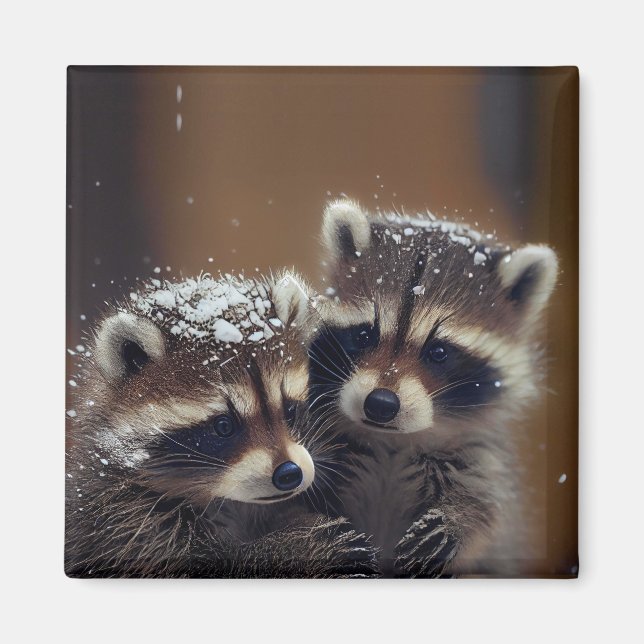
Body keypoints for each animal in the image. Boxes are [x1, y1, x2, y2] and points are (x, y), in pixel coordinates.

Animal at [66, 270, 377, 578]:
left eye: (289, 410)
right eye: (224, 426)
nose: (289, 474)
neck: (227, 502)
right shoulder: (122, 519)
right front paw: (296, 545)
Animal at [306, 199, 558, 577]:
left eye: (438, 352)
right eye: (364, 336)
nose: (380, 403)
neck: (392, 442)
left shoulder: (480, 454)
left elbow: (489, 507)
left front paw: (458, 519)